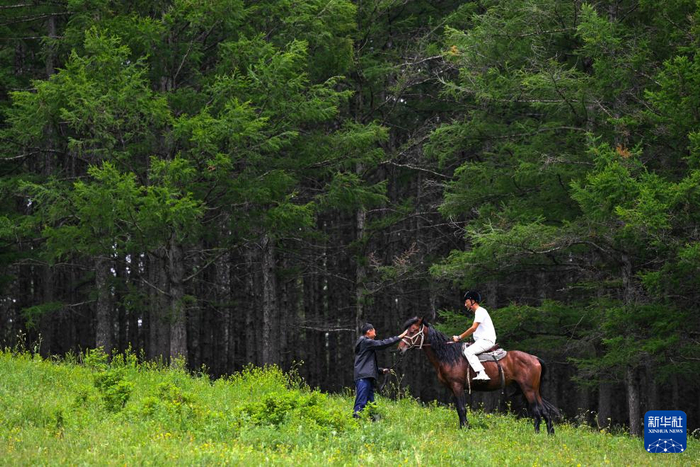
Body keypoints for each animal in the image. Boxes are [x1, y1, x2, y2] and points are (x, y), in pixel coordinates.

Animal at [398, 317, 559, 434]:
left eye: (412, 331)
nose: (400, 349)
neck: (449, 356)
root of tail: (535, 358)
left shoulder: (457, 386)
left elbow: (462, 409)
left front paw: (465, 429)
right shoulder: (452, 388)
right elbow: (459, 409)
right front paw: (463, 427)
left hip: (528, 389)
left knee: (536, 411)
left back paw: (536, 433)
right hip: (534, 390)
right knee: (544, 411)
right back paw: (550, 435)